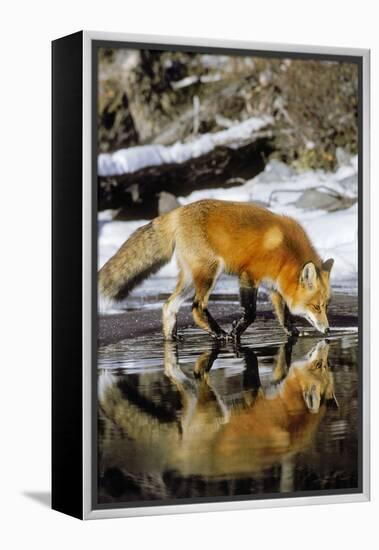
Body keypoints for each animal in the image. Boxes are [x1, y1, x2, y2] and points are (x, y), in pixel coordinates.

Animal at [99, 202, 334, 340]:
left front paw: (293, 332)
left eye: (326, 306)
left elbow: (284, 315)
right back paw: (219, 333)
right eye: (315, 306)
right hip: (210, 273)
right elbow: (251, 312)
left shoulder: (274, 287)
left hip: (190, 279)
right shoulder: (249, 276)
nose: (328, 330)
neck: (285, 253)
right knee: (196, 307)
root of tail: (178, 212)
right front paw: (236, 330)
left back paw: (172, 340)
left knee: (168, 306)